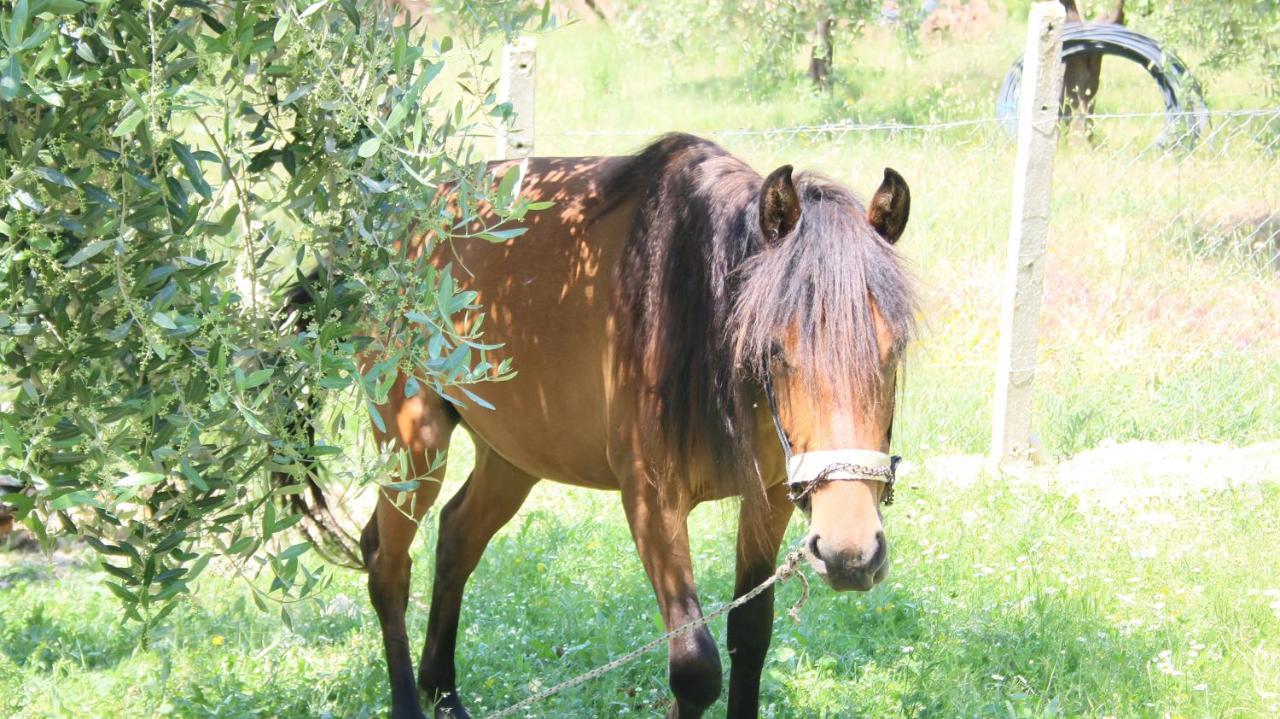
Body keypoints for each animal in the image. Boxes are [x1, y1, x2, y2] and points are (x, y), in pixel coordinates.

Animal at [294, 134, 916, 716]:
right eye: (773, 349)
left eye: (896, 350)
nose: (851, 552)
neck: (692, 299)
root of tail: (383, 228)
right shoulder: (650, 501)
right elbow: (695, 665)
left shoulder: (769, 498)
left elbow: (750, 635)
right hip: (414, 444)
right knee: (387, 564)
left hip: (512, 456)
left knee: (455, 539)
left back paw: (444, 692)